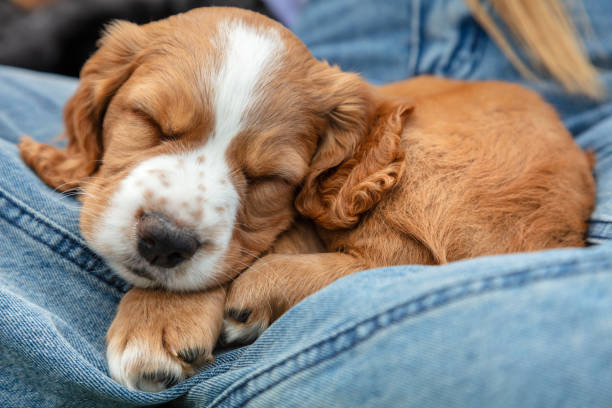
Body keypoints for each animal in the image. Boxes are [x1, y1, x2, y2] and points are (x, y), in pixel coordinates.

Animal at [19, 5, 592, 388]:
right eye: (149, 122)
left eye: (269, 178)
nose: (164, 242)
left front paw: (157, 318)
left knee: (395, 261)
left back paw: (254, 296)